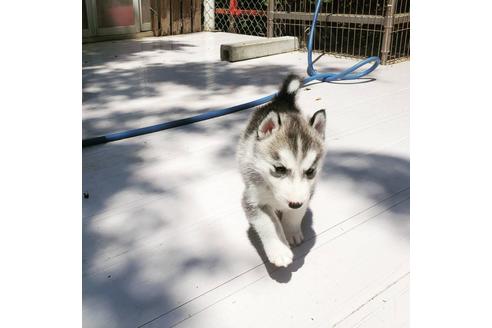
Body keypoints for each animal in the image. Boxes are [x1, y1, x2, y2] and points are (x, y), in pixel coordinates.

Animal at [238, 74, 326, 266]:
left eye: (310, 172)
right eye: (279, 169)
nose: (294, 203)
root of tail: (283, 100)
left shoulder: (307, 193)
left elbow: (296, 215)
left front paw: (291, 232)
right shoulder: (252, 199)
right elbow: (267, 223)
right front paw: (279, 250)